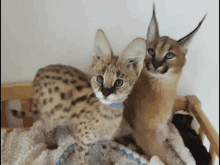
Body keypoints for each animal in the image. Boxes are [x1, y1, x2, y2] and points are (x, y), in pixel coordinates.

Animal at [11, 30, 147, 165]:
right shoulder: (82, 142)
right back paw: (51, 142)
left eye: (119, 82)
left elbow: (106, 154)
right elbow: (83, 160)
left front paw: (109, 162)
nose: (105, 92)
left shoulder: (106, 139)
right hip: (51, 113)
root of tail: (39, 72)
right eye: (100, 78)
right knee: (45, 126)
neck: (108, 114)